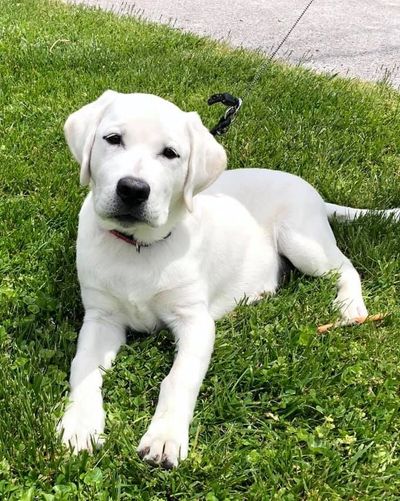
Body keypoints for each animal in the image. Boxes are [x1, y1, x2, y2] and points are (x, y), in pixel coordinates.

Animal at [57, 91, 398, 468]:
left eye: (170, 153)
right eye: (113, 139)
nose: (132, 189)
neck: (138, 248)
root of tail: (315, 194)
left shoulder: (195, 321)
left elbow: (180, 379)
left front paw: (164, 438)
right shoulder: (101, 318)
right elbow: (83, 368)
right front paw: (80, 425)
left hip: (303, 241)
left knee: (346, 266)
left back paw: (349, 305)